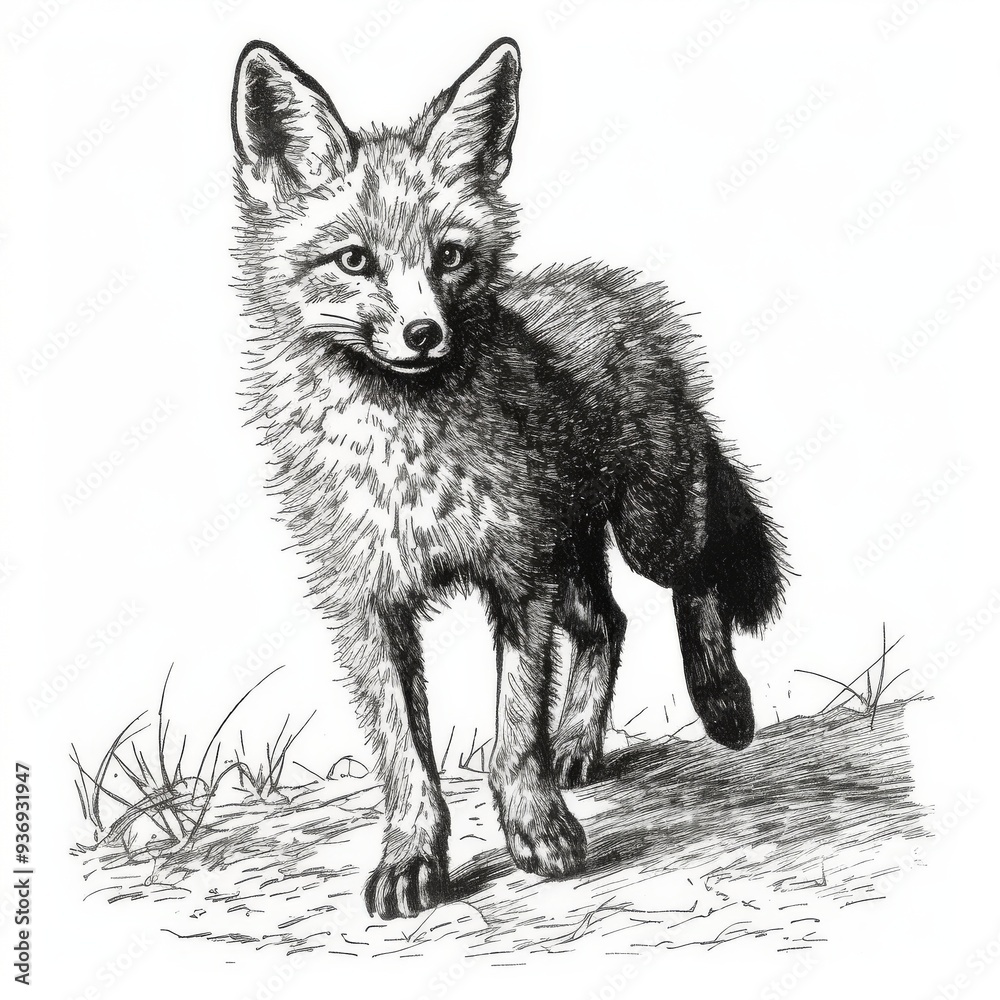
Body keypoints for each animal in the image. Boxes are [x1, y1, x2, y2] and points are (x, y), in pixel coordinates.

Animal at [230, 37, 787, 920]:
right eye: (354, 261)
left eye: (450, 257)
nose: (424, 333)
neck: (408, 461)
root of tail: (622, 297)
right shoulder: (367, 604)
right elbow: (405, 756)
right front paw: (412, 855)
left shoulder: (516, 580)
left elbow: (515, 731)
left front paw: (534, 827)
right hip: (569, 554)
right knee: (607, 626)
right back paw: (582, 742)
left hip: (642, 529)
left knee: (692, 578)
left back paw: (721, 700)